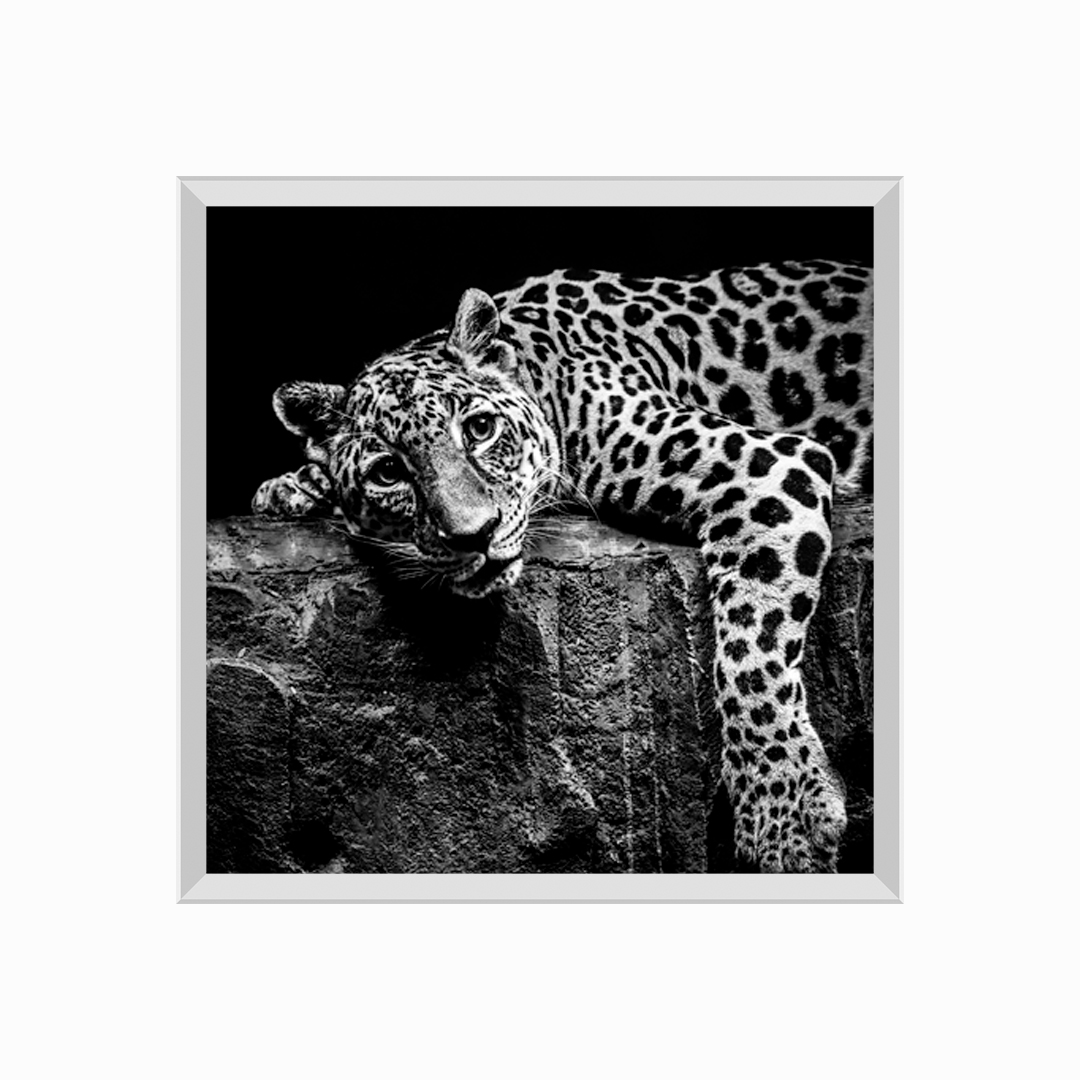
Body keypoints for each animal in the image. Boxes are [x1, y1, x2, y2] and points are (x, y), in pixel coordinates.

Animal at [253, 261, 873, 873]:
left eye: (480, 430)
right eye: (387, 471)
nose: (474, 535)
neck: (539, 369)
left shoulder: (770, 466)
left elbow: (752, 645)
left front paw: (783, 810)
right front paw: (293, 487)